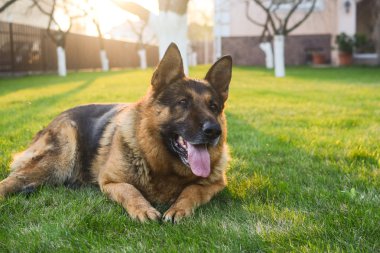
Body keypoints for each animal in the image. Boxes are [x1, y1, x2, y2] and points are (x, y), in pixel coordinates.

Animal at [0, 43, 232, 223]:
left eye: (213, 106)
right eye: (183, 103)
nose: (214, 131)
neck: (163, 167)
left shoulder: (215, 184)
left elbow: (192, 190)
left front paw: (178, 209)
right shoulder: (110, 182)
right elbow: (131, 190)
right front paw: (143, 209)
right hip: (61, 158)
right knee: (14, 179)